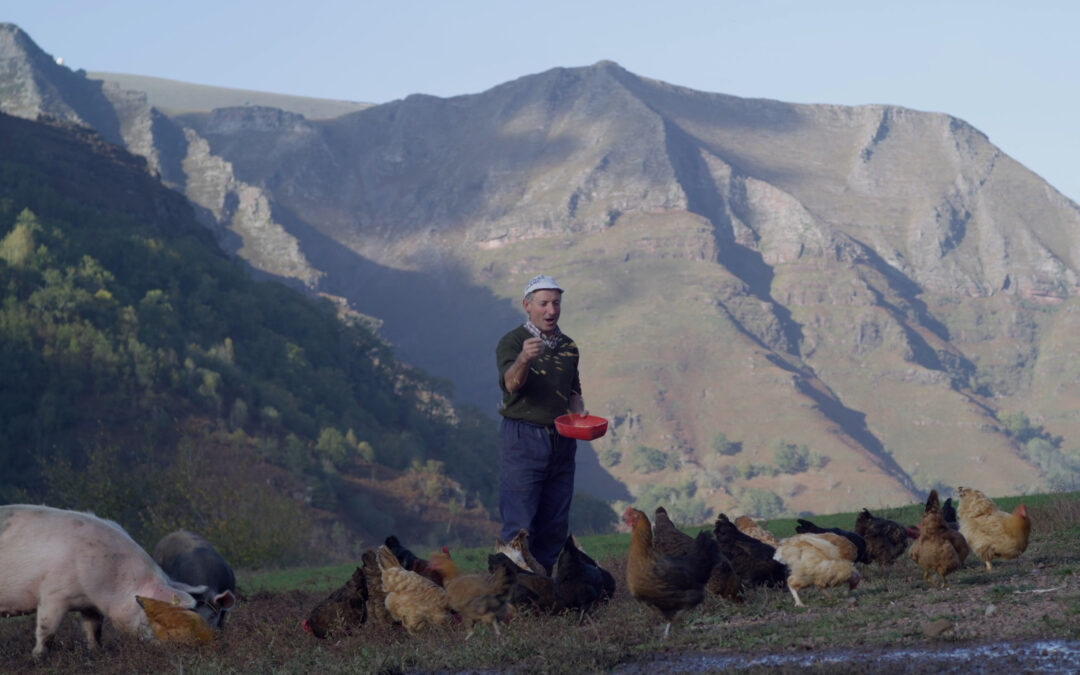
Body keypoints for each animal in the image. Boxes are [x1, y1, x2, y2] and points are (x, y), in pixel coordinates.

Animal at [0, 503, 204, 656]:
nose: (180, 646)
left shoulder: (90, 604)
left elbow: (94, 629)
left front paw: (96, 651)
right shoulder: (54, 594)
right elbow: (46, 629)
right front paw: (38, 656)